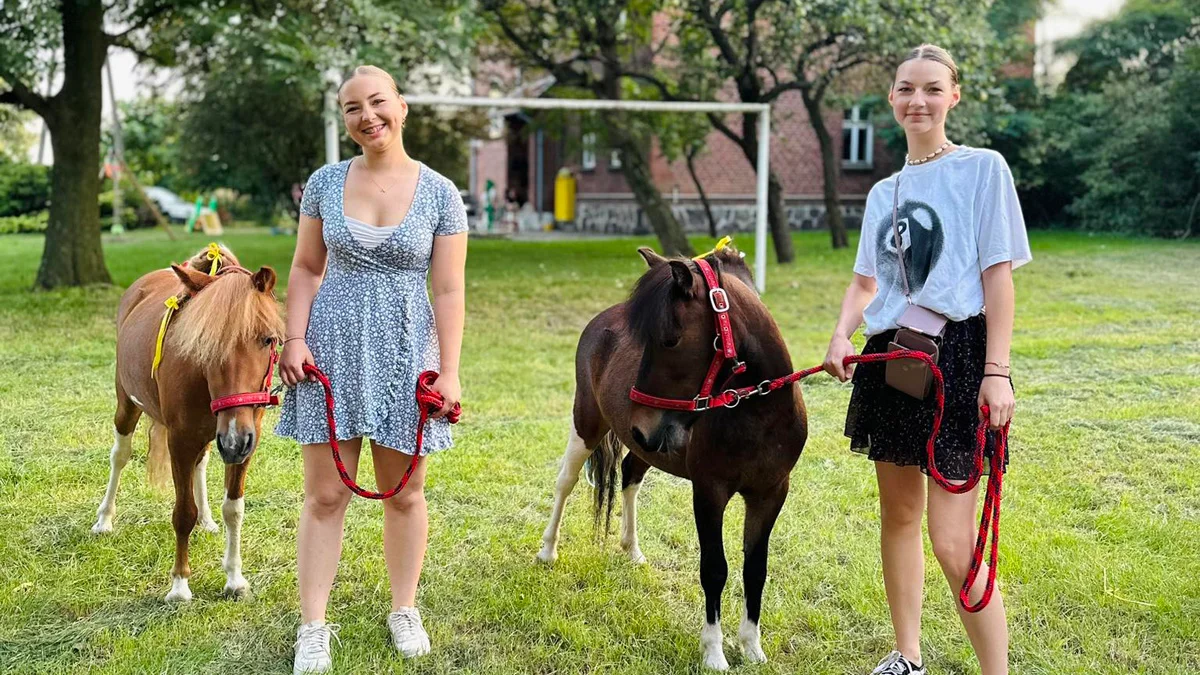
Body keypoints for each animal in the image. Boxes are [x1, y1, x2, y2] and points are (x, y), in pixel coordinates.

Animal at [91, 243, 283, 600]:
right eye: (205, 342)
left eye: (268, 339)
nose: (235, 440)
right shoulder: (180, 439)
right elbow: (182, 513)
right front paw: (180, 585)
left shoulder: (245, 440)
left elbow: (234, 509)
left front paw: (234, 579)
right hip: (127, 404)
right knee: (120, 456)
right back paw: (104, 520)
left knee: (201, 464)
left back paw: (207, 520)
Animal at [540, 241, 811, 667]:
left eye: (669, 339)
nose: (641, 425)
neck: (757, 412)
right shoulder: (709, 491)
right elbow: (714, 568)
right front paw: (714, 652)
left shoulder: (771, 493)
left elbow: (755, 568)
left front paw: (751, 647)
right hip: (588, 422)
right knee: (565, 482)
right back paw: (547, 550)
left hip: (644, 448)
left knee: (630, 477)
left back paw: (631, 550)